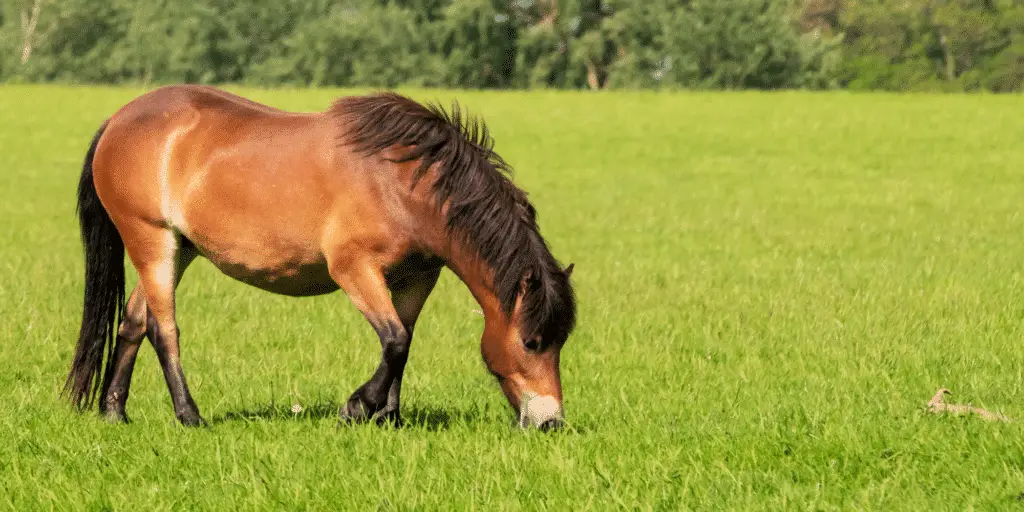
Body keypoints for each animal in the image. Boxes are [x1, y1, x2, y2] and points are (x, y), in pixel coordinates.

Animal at [61, 86, 577, 430]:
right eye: (532, 341)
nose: (550, 422)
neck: (402, 183)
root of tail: (118, 119)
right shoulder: (354, 269)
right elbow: (394, 341)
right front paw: (356, 408)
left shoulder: (416, 278)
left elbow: (404, 341)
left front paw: (389, 417)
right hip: (151, 241)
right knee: (163, 330)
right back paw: (189, 416)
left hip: (178, 249)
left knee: (133, 323)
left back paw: (114, 412)